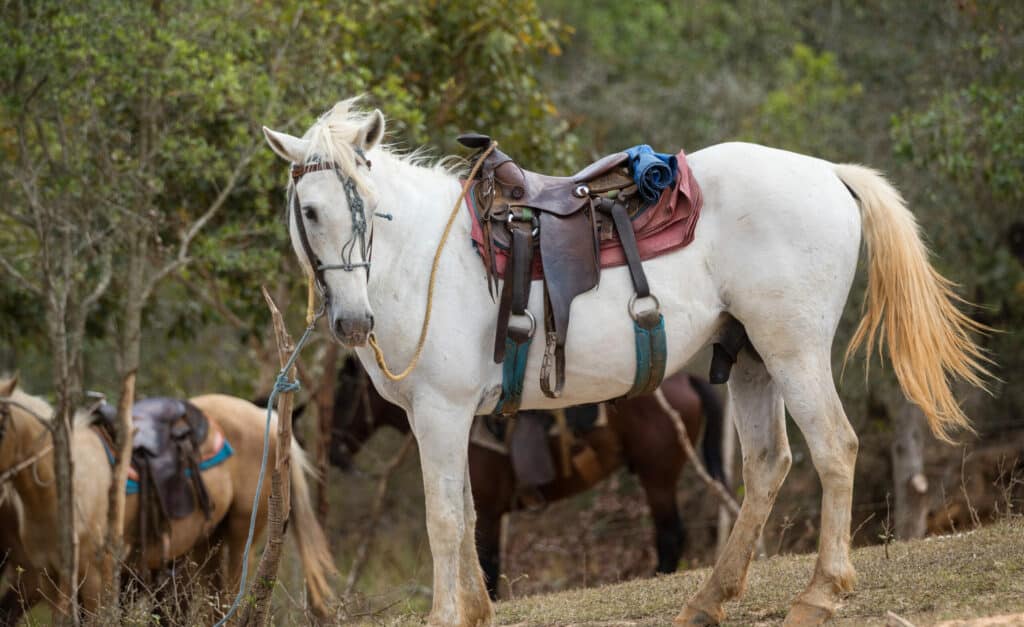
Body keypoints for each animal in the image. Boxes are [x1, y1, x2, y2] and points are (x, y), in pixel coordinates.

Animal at [0, 376, 336, 621]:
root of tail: (265, 417)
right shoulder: (50, 578)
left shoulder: (96, 573)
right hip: (205, 544)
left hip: (240, 536)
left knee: (230, 597)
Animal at [324, 358, 725, 598]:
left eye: (345, 391)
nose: (332, 452)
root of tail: (686, 379)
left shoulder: (488, 512)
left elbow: (488, 566)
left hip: (657, 476)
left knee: (670, 535)